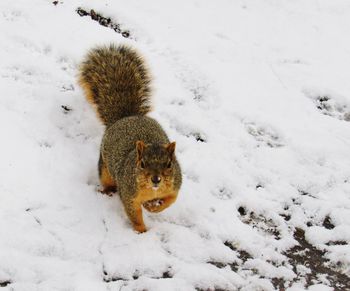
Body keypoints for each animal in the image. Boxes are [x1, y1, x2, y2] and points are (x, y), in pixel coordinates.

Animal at [77, 44, 182, 234]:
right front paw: (141, 231)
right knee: (107, 180)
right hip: (104, 168)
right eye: (142, 164)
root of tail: (126, 117)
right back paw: (108, 191)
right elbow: (134, 214)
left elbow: (170, 200)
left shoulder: (175, 185)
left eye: (169, 164)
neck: (152, 191)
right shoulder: (129, 194)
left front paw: (154, 207)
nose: (156, 179)